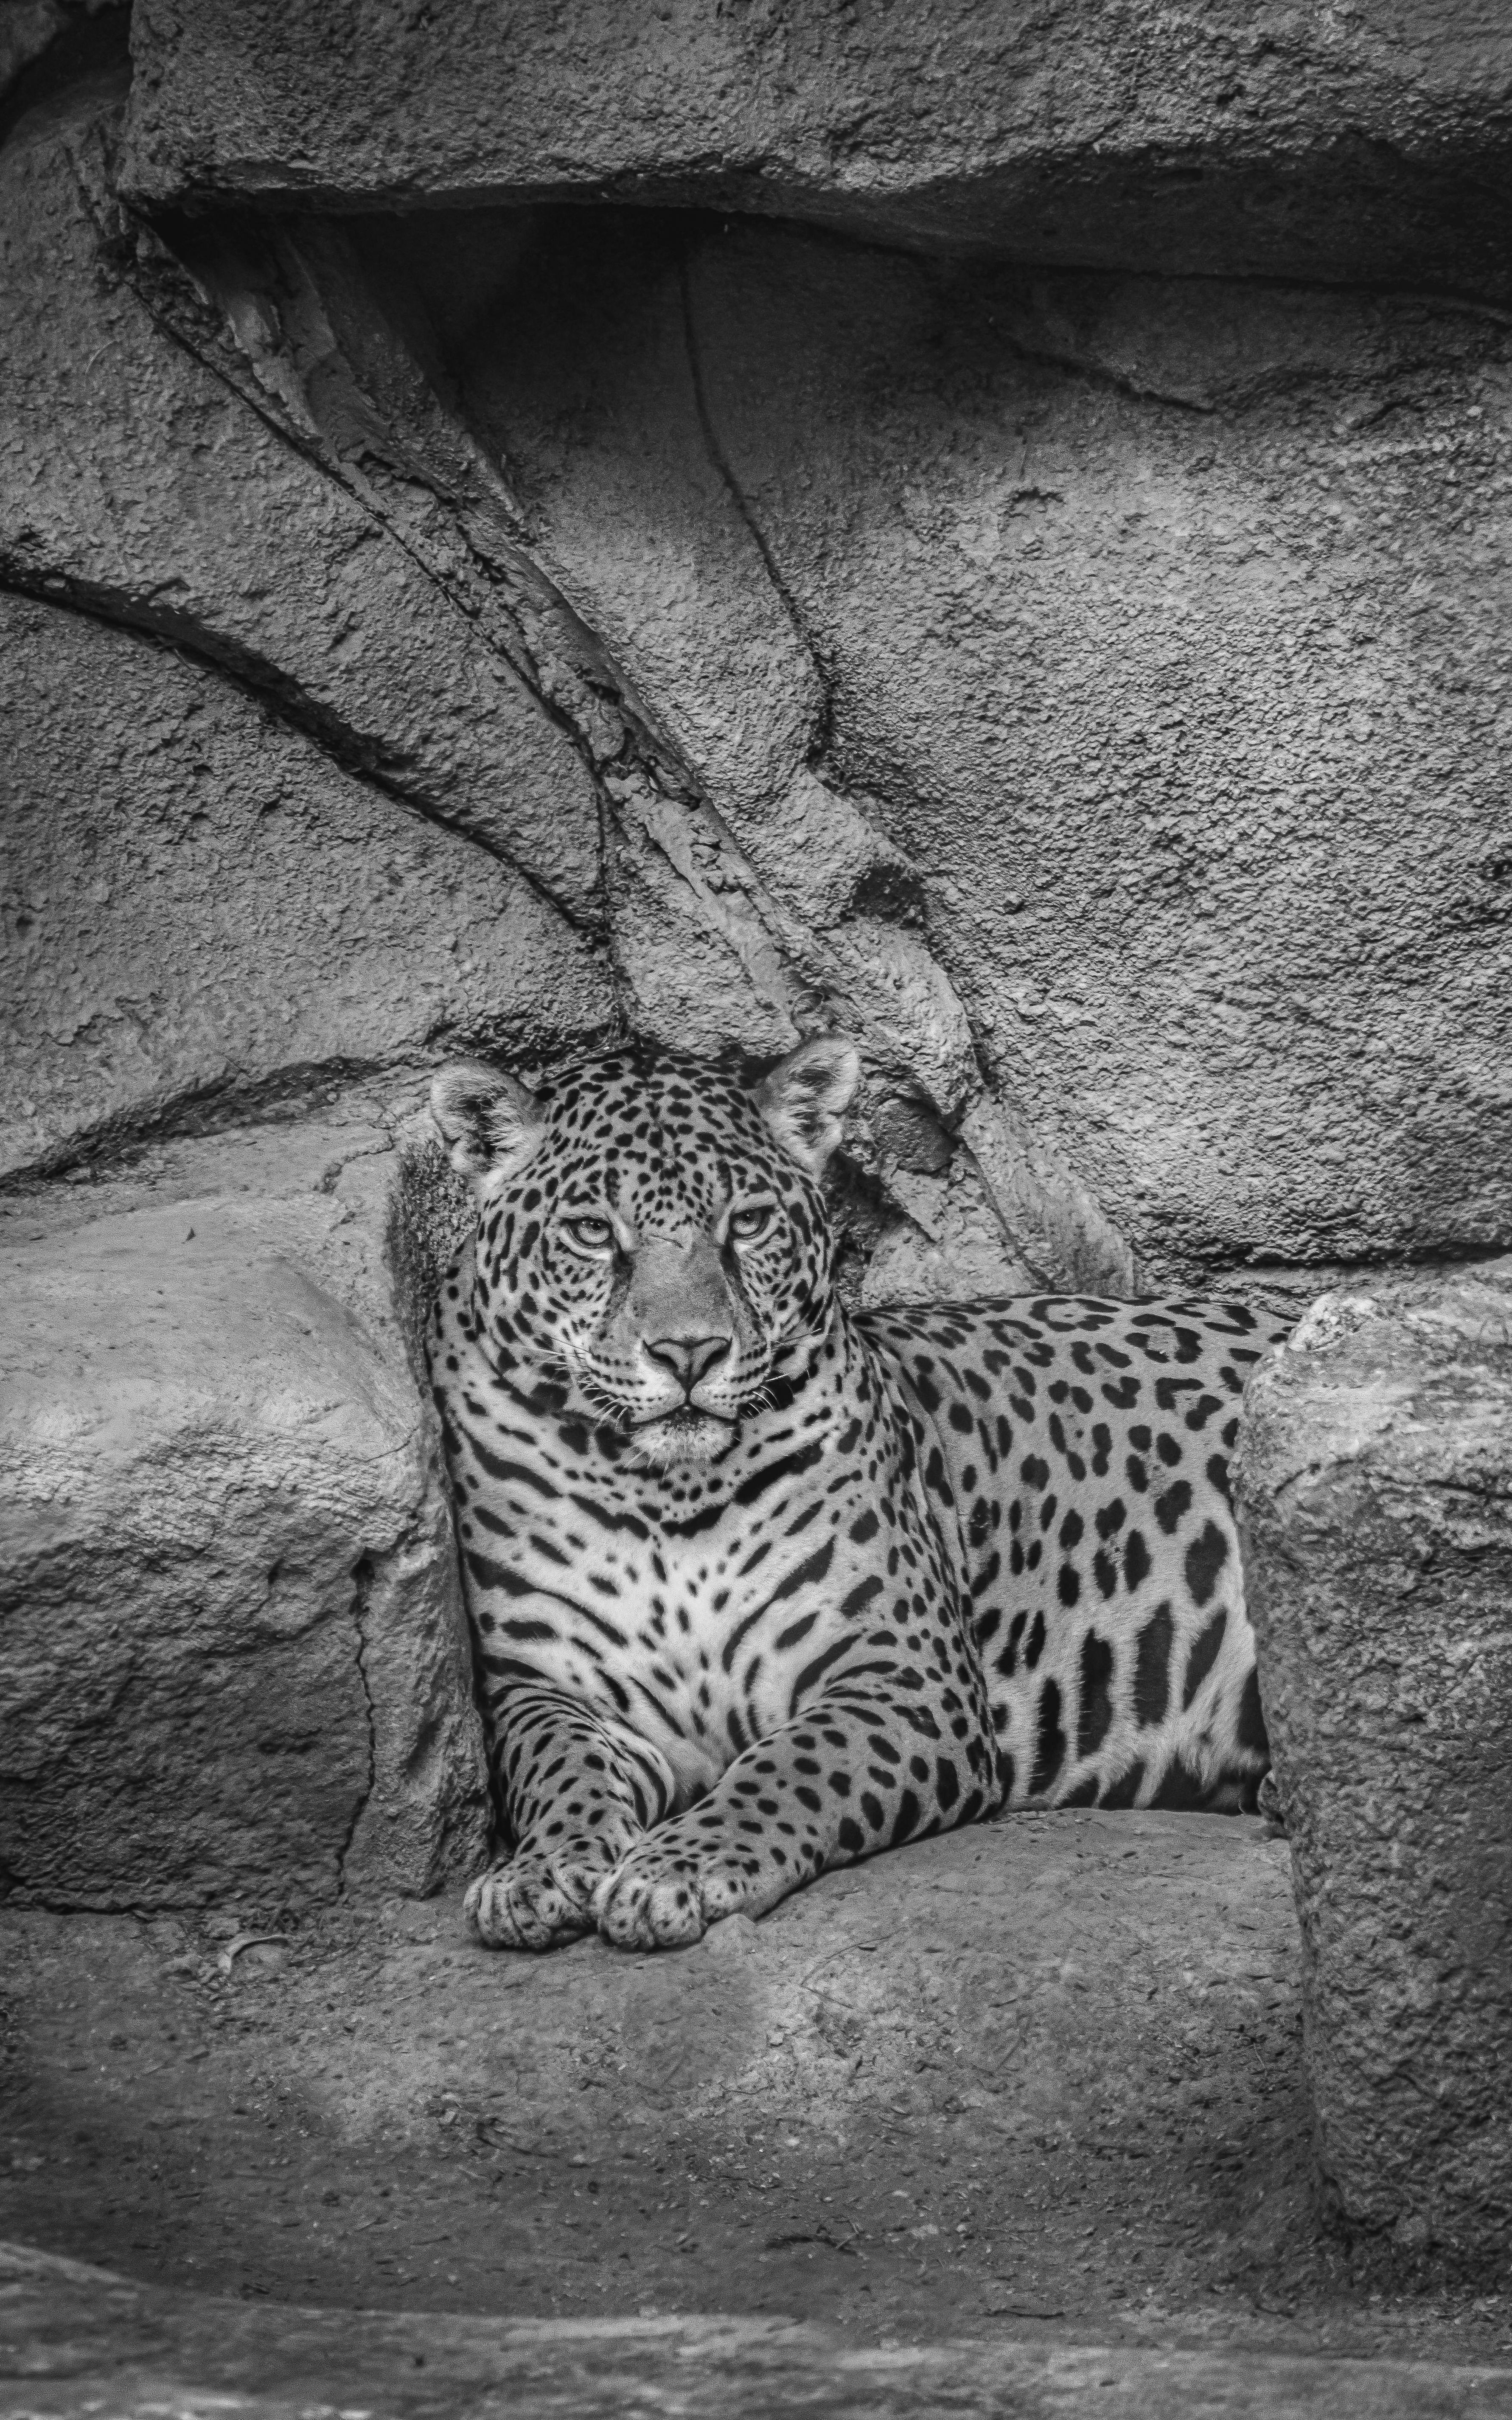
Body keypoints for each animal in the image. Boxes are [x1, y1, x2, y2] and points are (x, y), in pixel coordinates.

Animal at [425, 1034, 1289, 1954]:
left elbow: (784, 1768)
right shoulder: (537, 1687)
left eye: (747, 1225)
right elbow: (559, 1771)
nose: (690, 1352)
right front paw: (539, 1872)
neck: (665, 1493)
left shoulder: (903, 1672)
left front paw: (674, 1870)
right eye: (591, 1232)